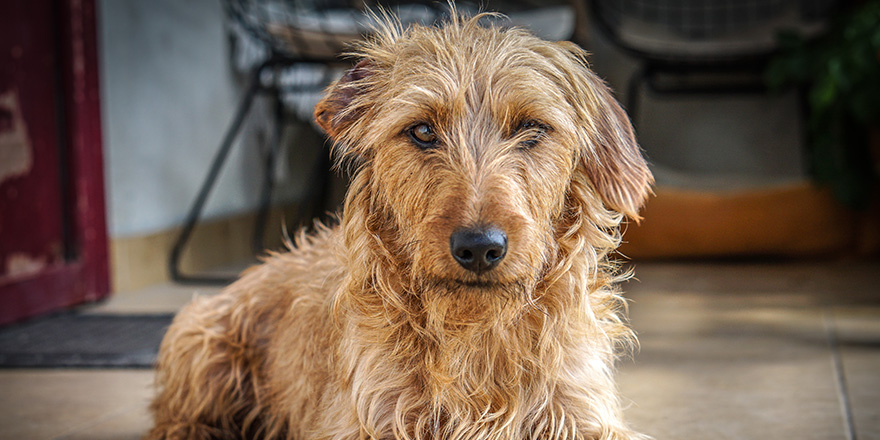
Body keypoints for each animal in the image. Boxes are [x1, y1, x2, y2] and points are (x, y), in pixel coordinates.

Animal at [146, 10, 652, 440]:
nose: (479, 247)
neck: (474, 339)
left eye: (531, 128)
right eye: (423, 131)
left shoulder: (581, 413)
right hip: (200, 343)